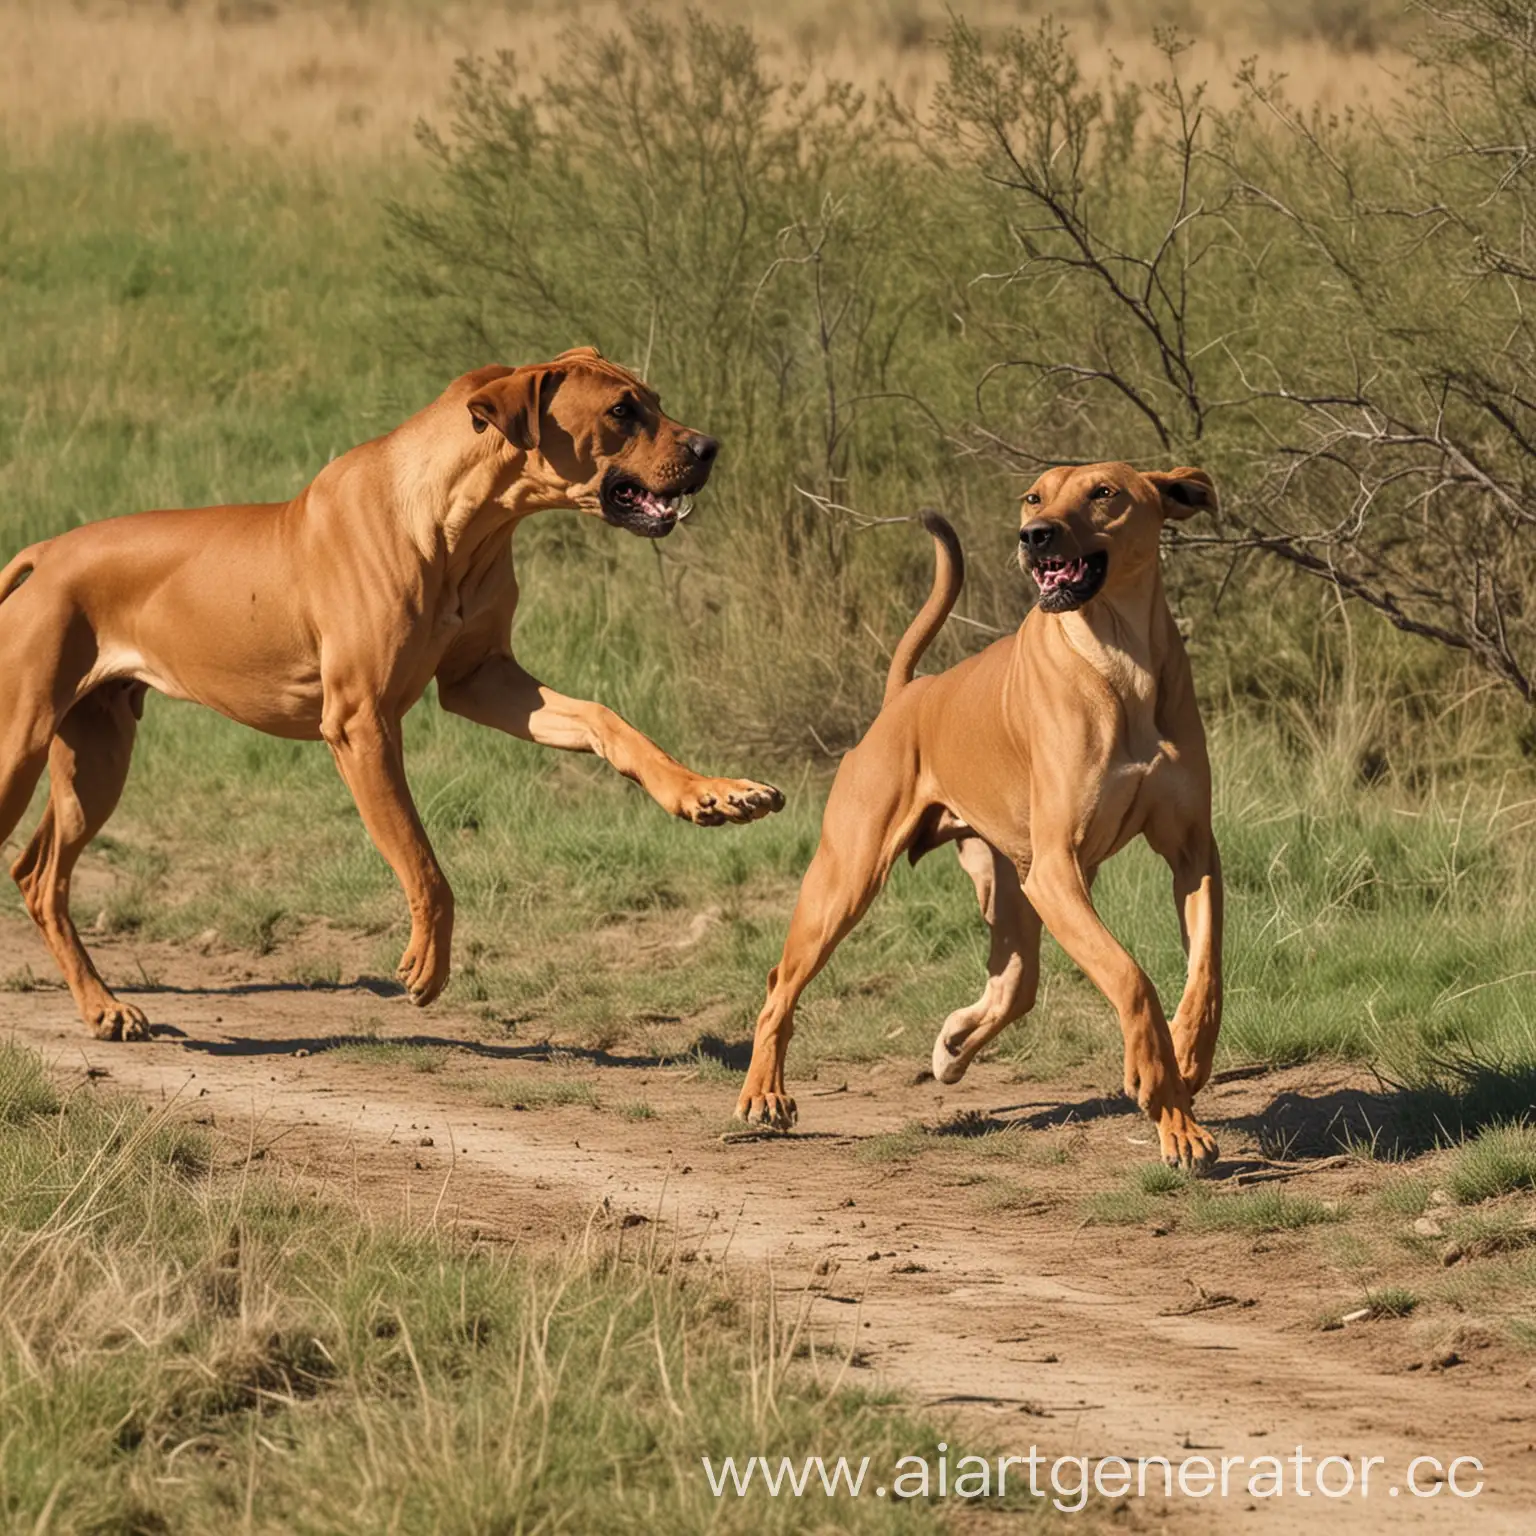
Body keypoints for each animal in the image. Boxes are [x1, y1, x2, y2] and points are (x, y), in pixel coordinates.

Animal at [0, 347, 786, 1038]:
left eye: (654, 399)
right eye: (623, 410)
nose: (711, 446)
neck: (460, 521)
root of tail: (46, 552)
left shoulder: (484, 680)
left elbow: (605, 720)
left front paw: (712, 792)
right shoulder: (361, 724)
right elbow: (423, 861)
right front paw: (427, 964)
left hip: (99, 756)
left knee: (39, 875)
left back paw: (104, 1008)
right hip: (22, 748)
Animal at [731, 460, 1222, 1167]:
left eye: (1104, 493)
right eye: (1034, 496)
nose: (1035, 535)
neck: (1120, 655)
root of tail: (905, 696)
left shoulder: (1191, 851)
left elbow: (1206, 968)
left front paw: (1186, 1053)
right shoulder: (1058, 870)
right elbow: (1132, 979)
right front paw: (1170, 1109)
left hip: (1012, 890)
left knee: (1013, 985)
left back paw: (954, 1043)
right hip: (847, 880)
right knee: (780, 985)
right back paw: (763, 1095)